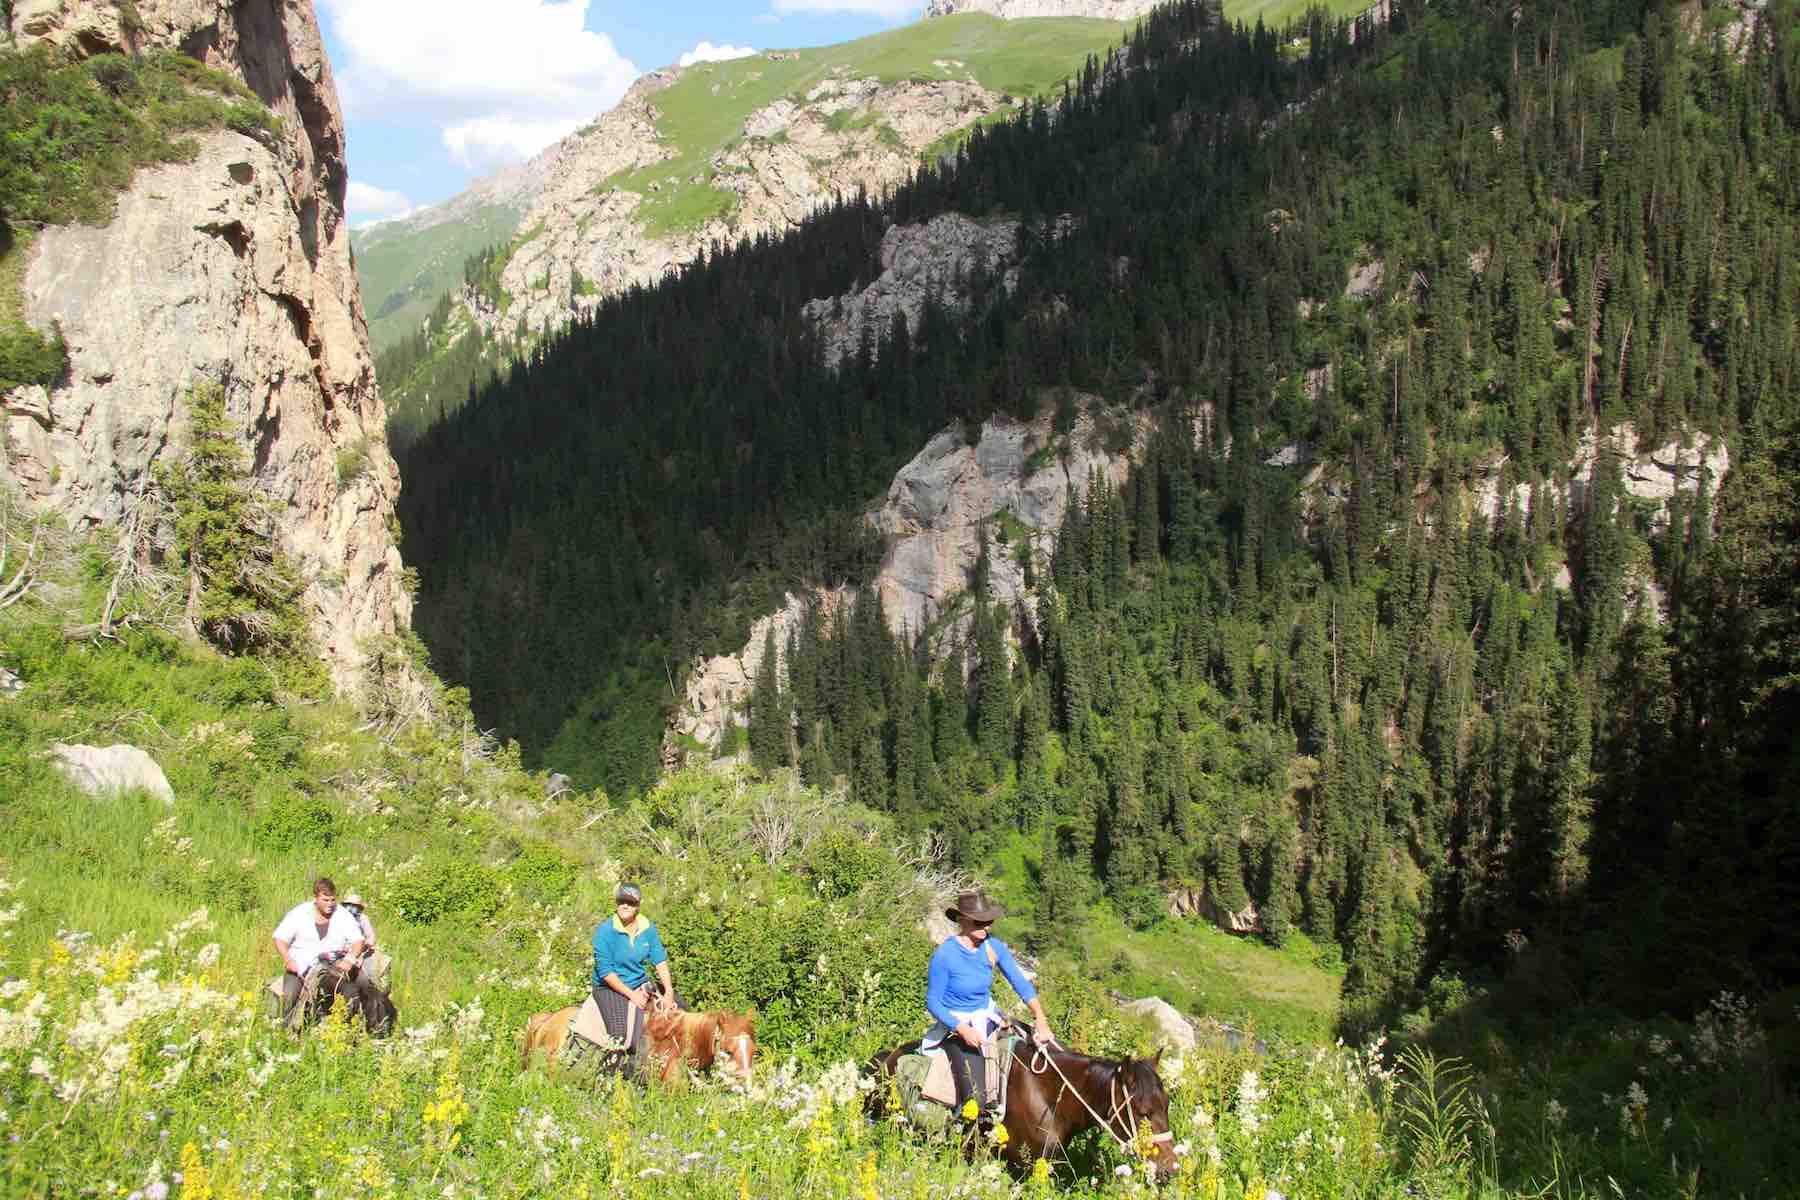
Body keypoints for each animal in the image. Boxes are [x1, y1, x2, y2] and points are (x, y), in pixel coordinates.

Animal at [867, 1036, 1180, 1180]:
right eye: (1142, 1112)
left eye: (1166, 1105)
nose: (1171, 1169)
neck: (1050, 1098)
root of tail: (887, 1059)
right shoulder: (1023, 1167)